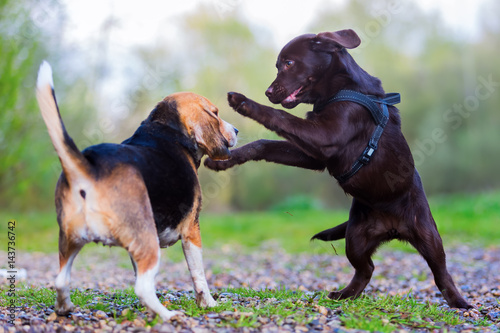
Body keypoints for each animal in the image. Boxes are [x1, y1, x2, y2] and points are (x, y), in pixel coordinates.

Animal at [35, 61, 238, 320]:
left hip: (70, 239)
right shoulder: (192, 230)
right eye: (215, 113)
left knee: (61, 280)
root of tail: (89, 165)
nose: (236, 130)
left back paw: (65, 308)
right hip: (147, 239)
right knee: (142, 287)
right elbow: (199, 275)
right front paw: (209, 303)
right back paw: (168, 315)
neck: (166, 130)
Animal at [205, 29, 470, 308]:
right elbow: (264, 144)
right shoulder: (316, 155)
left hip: (428, 236)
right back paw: (344, 294)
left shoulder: (325, 137)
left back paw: (460, 303)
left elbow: (279, 117)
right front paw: (223, 160)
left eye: (289, 63)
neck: (342, 89)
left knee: (441, 271)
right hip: (355, 238)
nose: (267, 92)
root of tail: (392, 228)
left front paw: (243, 102)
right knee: (367, 269)